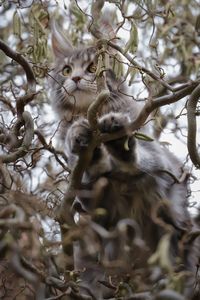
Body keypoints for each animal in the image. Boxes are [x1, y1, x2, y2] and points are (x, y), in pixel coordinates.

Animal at [49, 24, 198, 298]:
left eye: (92, 68)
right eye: (66, 70)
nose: (75, 79)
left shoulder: (158, 160)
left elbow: (141, 161)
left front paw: (118, 143)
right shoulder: (89, 194)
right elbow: (88, 170)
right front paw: (81, 138)